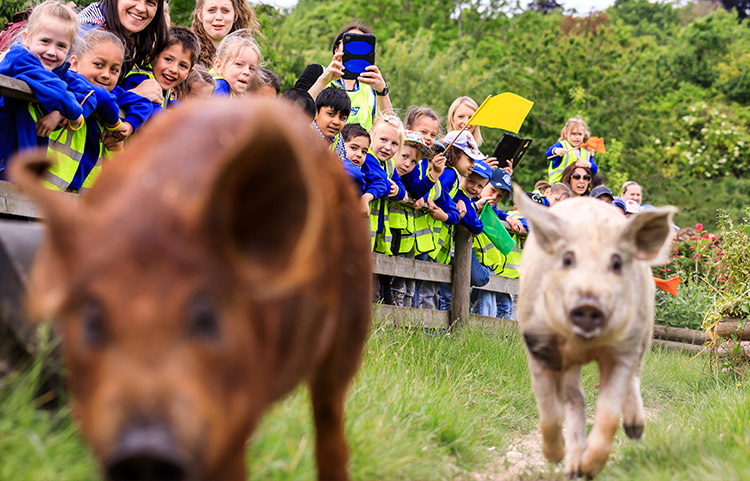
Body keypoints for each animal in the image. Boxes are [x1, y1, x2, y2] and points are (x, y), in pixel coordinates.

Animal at [516, 183, 680, 476]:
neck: (583, 345)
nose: (588, 303)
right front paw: (557, 458)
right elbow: (550, 413)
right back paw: (571, 469)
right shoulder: (538, 345)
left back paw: (634, 432)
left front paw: (590, 469)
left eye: (616, 263)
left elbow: (608, 414)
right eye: (567, 259)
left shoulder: (622, 350)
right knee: (576, 399)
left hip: (645, 329)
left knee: (634, 376)